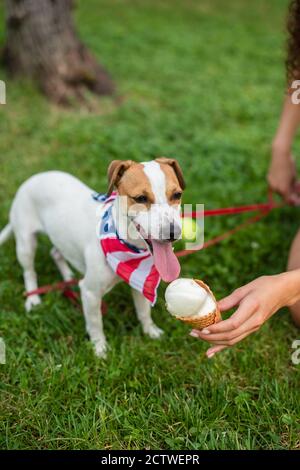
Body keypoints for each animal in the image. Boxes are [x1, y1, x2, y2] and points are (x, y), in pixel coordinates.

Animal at [0, 157, 184, 356]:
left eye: (177, 195)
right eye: (141, 198)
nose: (173, 233)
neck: (128, 246)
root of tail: (33, 178)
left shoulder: (139, 282)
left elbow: (143, 311)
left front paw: (150, 331)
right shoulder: (90, 293)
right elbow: (96, 324)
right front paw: (100, 349)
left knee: (55, 253)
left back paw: (67, 276)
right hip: (25, 243)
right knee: (29, 271)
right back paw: (33, 299)